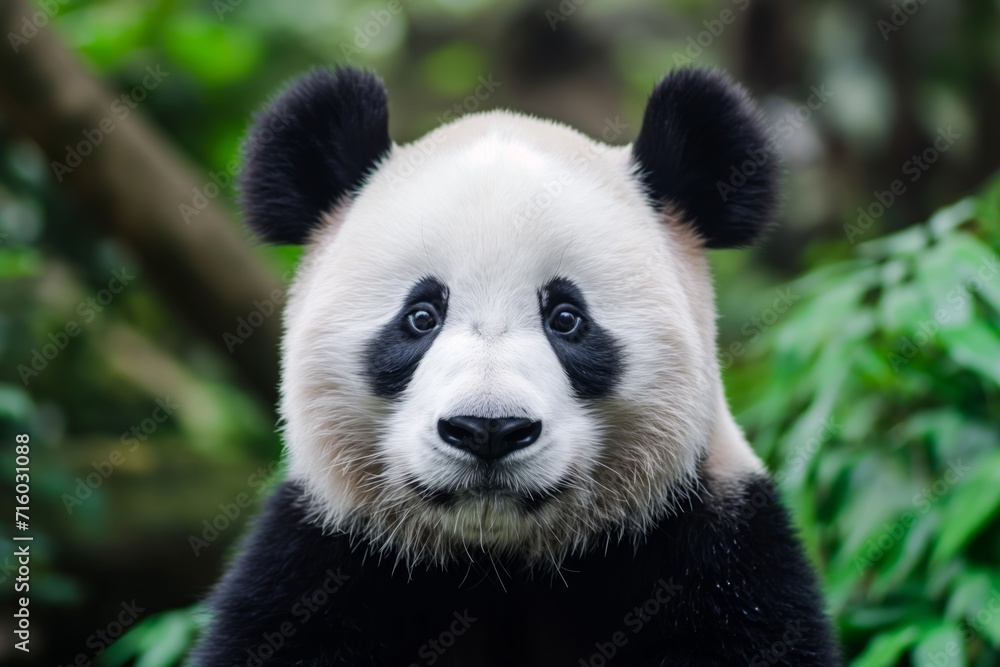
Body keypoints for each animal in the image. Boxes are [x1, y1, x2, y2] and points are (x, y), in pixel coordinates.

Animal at [193, 66, 841, 666]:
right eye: (421, 316)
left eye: (567, 319)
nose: (487, 430)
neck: (499, 563)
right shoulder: (321, 561)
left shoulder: (717, 549)